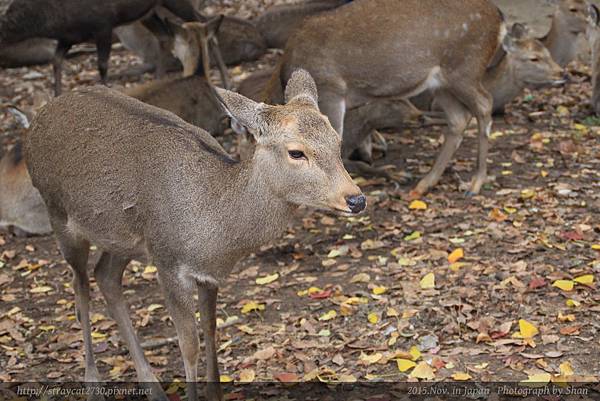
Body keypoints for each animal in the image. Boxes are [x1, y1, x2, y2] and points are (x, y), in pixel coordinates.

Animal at [24, 69, 366, 400]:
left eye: (336, 141)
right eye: (296, 152)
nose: (356, 199)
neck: (212, 233)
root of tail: (37, 119)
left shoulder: (207, 274)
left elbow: (212, 330)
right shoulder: (168, 262)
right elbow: (189, 344)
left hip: (124, 238)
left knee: (105, 275)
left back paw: (153, 387)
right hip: (58, 213)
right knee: (79, 286)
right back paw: (93, 383)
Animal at [268, 0, 502, 197]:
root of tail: (499, 20)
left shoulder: (330, 92)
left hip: (464, 68)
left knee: (484, 104)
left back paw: (475, 183)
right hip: (442, 82)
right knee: (459, 118)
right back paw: (424, 183)